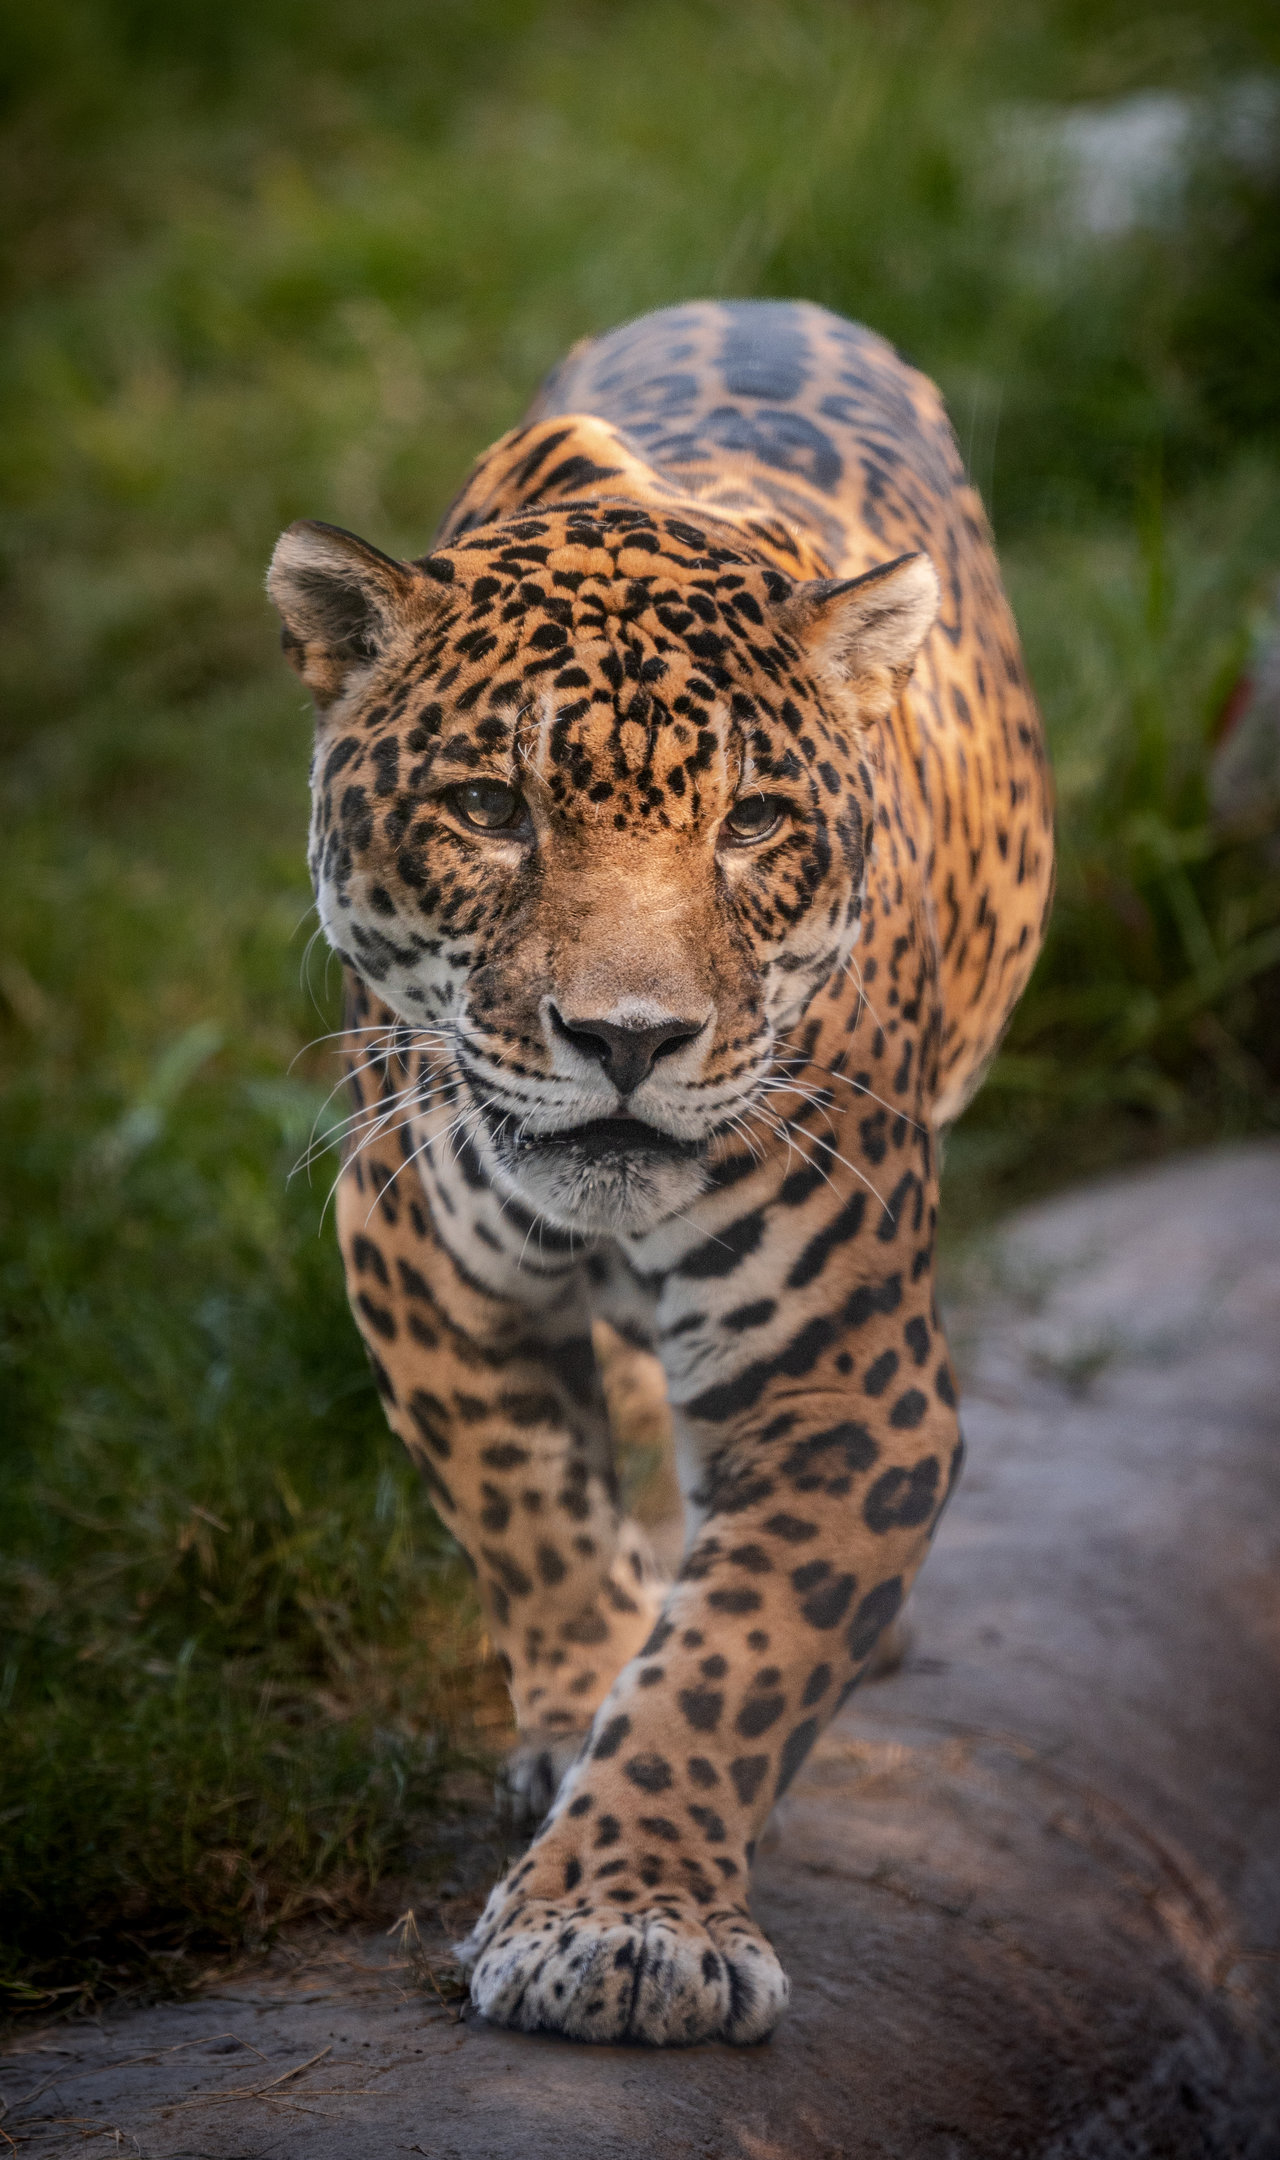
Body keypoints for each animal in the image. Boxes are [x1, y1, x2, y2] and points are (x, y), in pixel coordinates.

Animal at [267, 299, 1053, 2047]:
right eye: (488, 808)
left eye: (754, 823)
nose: (629, 1038)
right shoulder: (412, 1253)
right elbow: (526, 1514)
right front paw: (580, 1708)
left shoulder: (850, 1381)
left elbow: (737, 1657)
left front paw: (627, 1918)